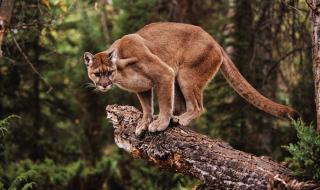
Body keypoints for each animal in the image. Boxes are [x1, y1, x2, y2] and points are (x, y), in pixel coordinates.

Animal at [84, 22, 298, 136]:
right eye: (97, 74)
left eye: (108, 72)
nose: (104, 85)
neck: (121, 71)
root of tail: (214, 41)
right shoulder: (143, 88)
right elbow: (146, 107)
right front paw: (143, 124)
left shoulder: (164, 73)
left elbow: (164, 103)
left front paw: (159, 124)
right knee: (183, 105)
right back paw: (177, 118)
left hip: (186, 76)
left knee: (197, 106)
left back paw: (180, 120)